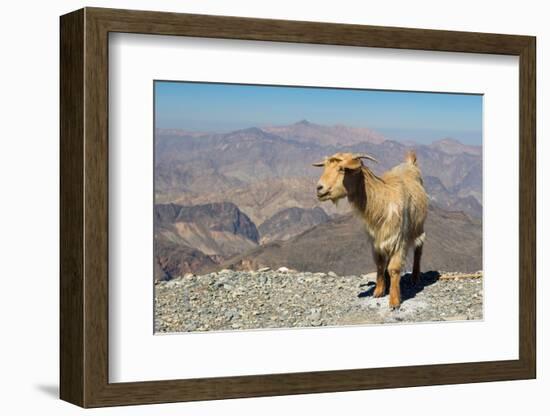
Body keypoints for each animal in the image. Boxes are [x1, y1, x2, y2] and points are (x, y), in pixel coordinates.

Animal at [314, 151, 432, 308]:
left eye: (342, 169)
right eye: (325, 167)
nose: (319, 188)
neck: (382, 201)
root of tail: (410, 164)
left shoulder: (399, 239)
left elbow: (394, 268)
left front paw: (394, 301)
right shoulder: (375, 240)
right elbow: (380, 265)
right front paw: (379, 291)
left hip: (419, 227)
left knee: (419, 248)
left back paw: (415, 277)